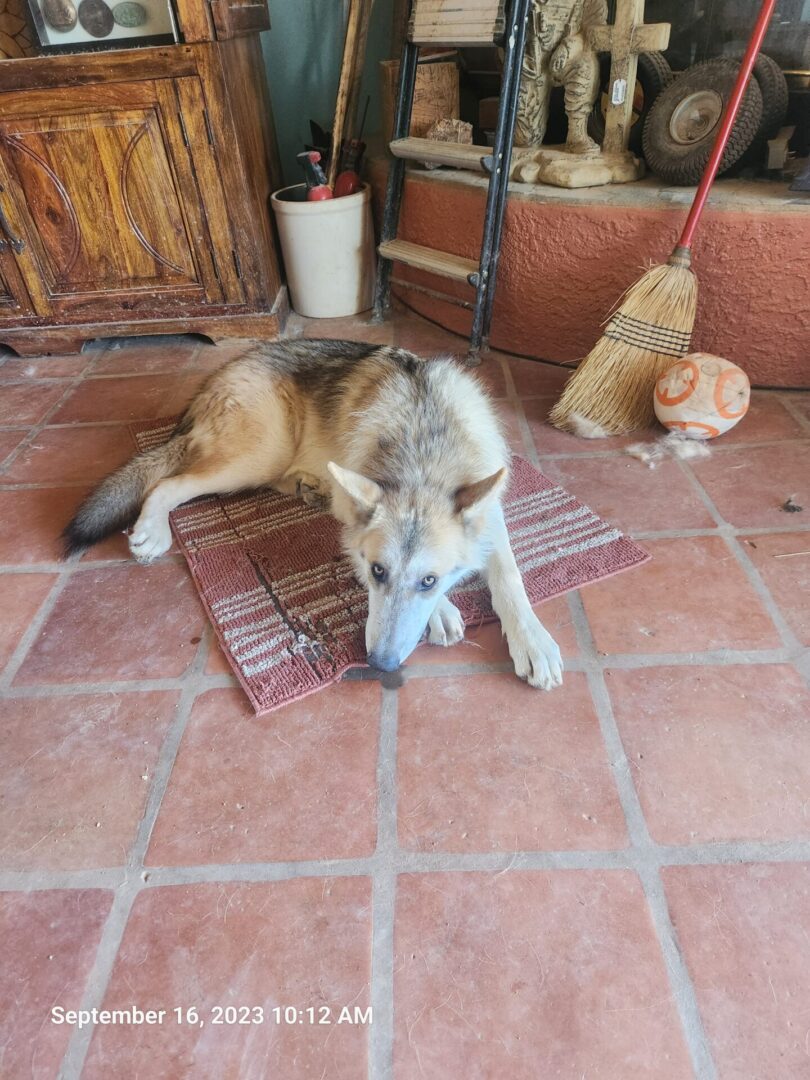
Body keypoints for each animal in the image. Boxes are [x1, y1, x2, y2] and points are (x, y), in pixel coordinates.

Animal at [63, 341, 565, 686]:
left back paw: (310, 486)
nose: (380, 666)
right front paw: (442, 613)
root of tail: (216, 377)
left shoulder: (490, 516)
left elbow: (509, 577)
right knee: (166, 483)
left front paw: (532, 639)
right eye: (377, 571)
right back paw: (151, 531)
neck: (423, 445)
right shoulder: (360, 538)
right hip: (257, 453)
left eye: (428, 579)